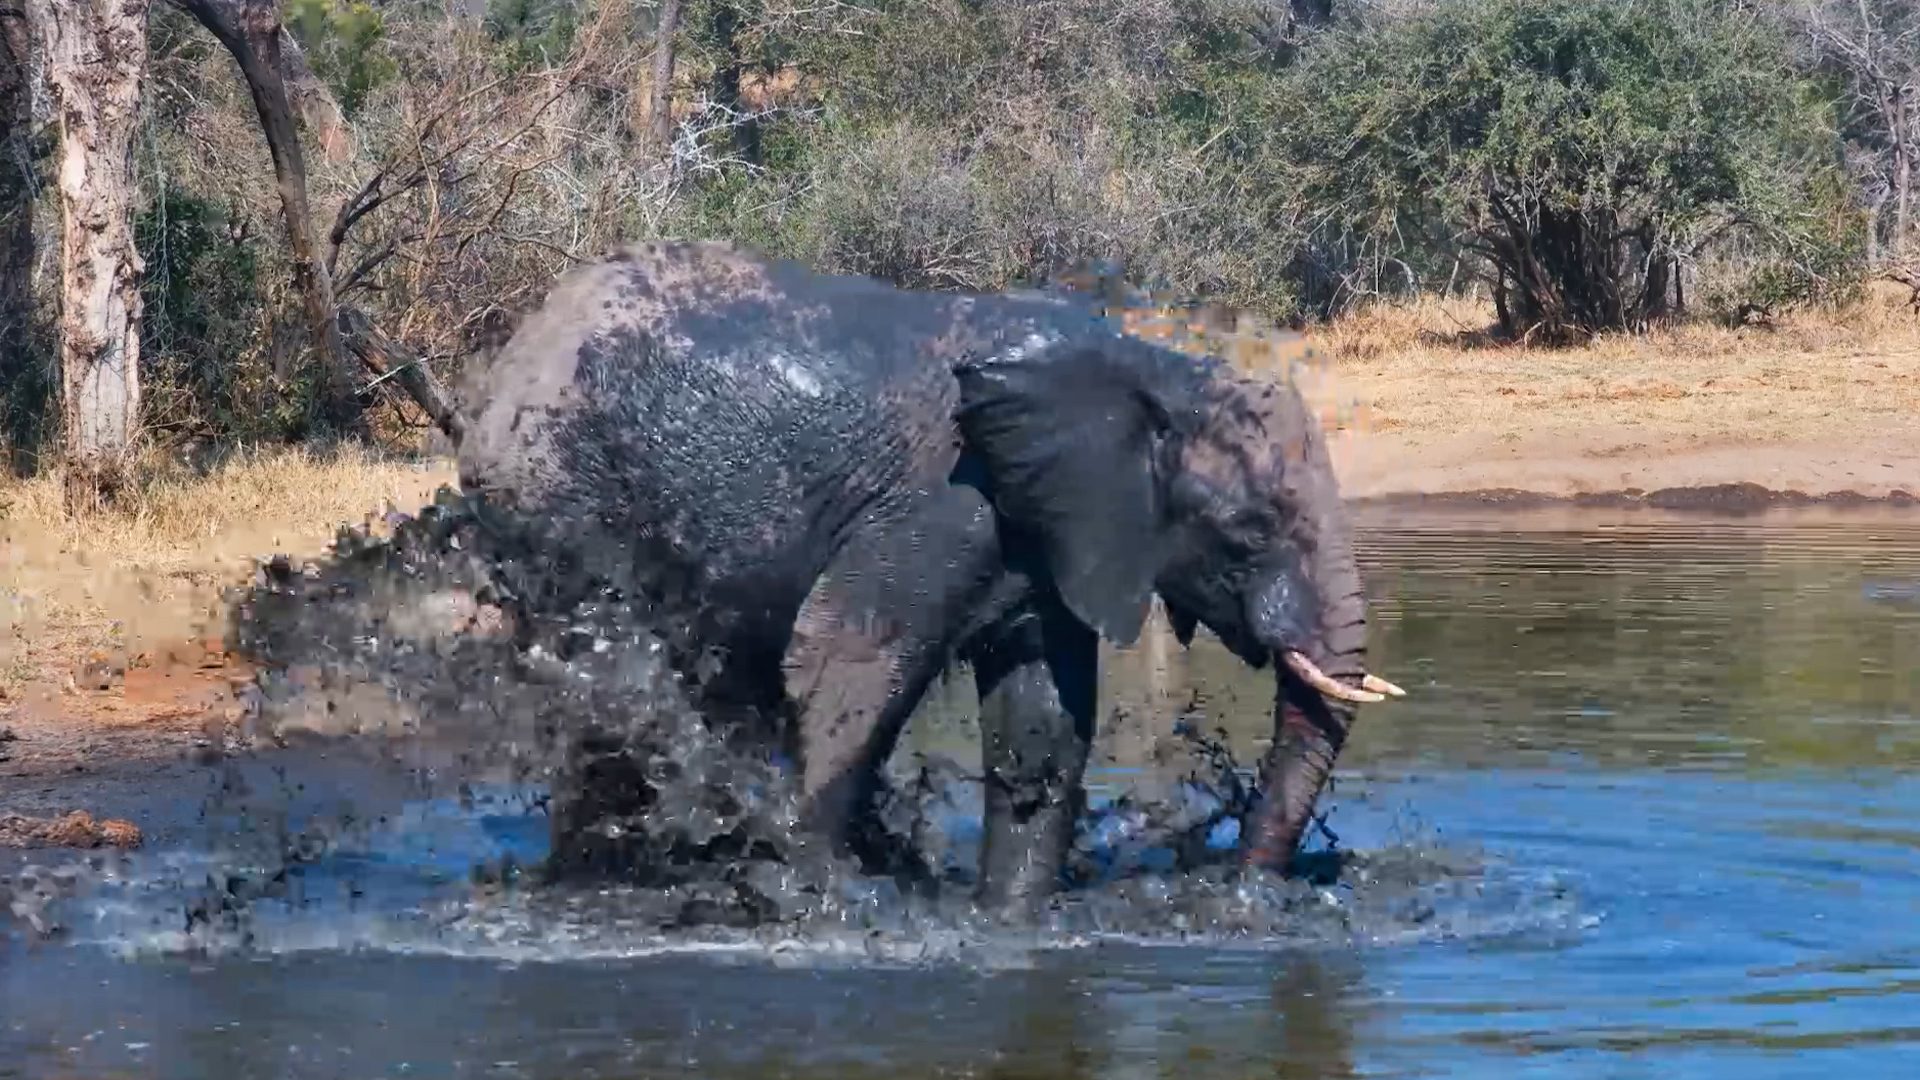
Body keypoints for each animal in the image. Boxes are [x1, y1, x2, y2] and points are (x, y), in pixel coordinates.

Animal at [453, 240, 1406, 917]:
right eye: (1248, 533)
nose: (1241, 884)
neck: (1154, 368)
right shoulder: (946, 506)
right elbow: (847, 665)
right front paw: (820, 894)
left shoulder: (1050, 529)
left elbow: (1044, 719)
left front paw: (1009, 914)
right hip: (561, 501)